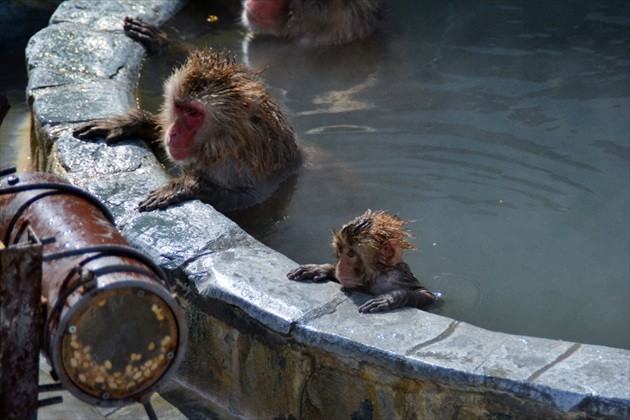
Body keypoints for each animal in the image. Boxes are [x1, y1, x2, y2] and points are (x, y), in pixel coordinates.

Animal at [74, 48, 302, 213]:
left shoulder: (242, 167)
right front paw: (129, 122)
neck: (227, 142)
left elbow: (246, 198)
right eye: (179, 107)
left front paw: (185, 186)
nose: (174, 132)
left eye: (193, 113)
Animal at [288, 210, 436, 312]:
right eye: (341, 252)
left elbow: (428, 296)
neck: (374, 276)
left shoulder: (395, 278)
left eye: (351, 253)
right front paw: (321, 269)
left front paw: (390, 298)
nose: (340, 267)